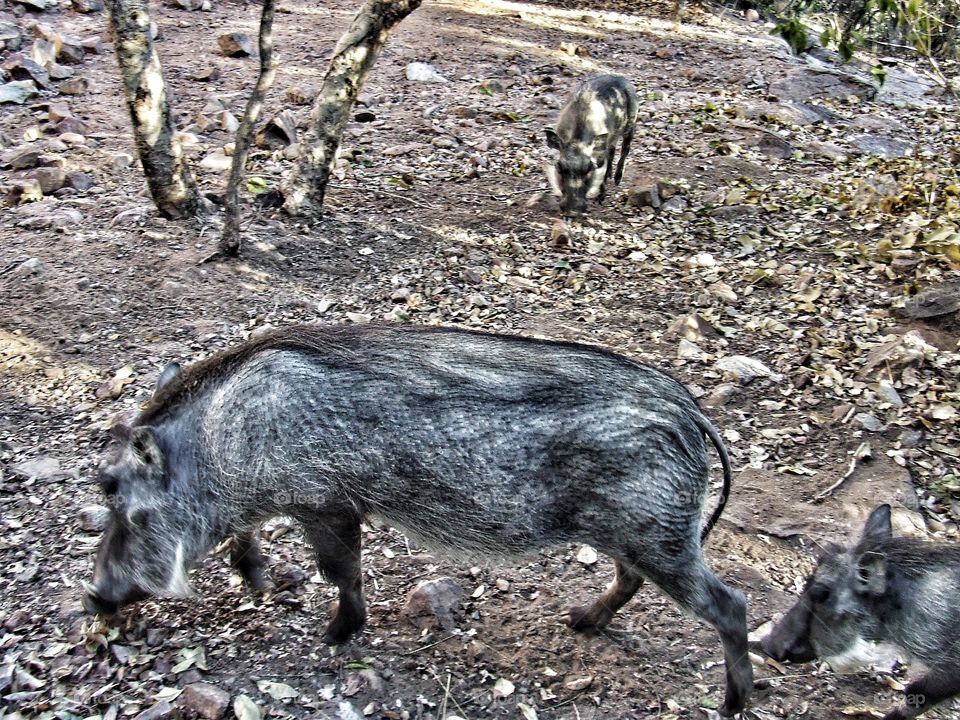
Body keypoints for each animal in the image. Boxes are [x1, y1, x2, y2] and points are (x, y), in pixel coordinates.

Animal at [84, 324, 752, 716]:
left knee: (731, 605)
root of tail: (691, 411)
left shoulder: (325, 504)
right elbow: (249, 540)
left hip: (661, 537)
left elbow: (340, 571)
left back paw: (733, 703)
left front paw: (335, 636)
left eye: (122, 500)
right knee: (630, 580)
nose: (94, 598)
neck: (223, 443)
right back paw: (580, 621)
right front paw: (261, 582)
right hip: (636, 535)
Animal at [545, 74, 639, 216]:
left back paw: (617, 179)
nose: (573, 211)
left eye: (589, 168)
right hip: (612, 137)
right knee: (612, 151)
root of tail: (621, 78)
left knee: (624, 151)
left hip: (630, 126)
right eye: (559, 166)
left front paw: (600, 198)